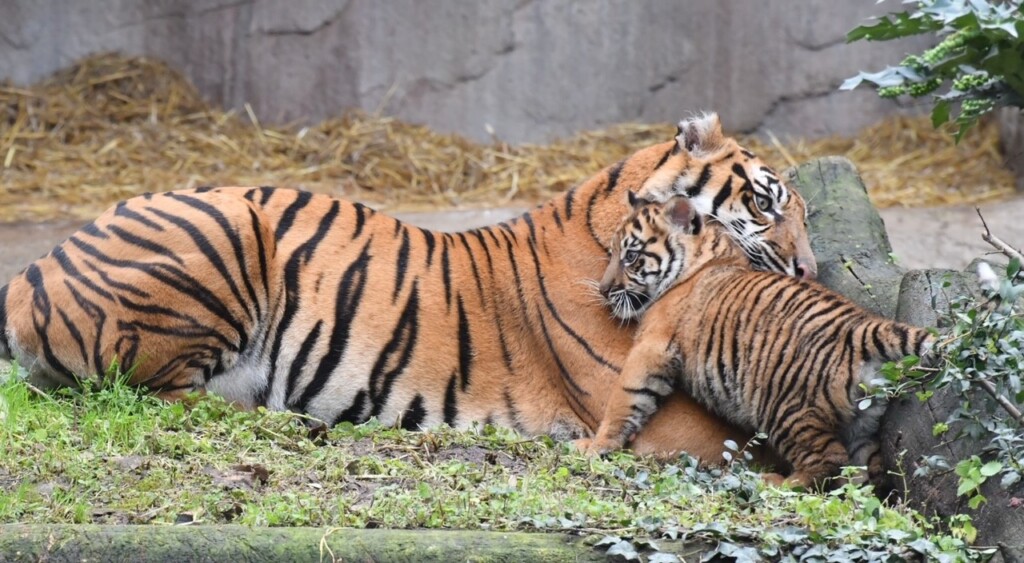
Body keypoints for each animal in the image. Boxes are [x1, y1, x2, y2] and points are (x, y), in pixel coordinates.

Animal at [0, 112, 815, 461]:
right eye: (767, 202)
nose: (810, 268)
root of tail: (29, 270)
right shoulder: (658, 409)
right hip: (224, 227)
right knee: (160, 395)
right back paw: (297, 422)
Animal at [575, 194, 933, 488]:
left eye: (630, 256)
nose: (604, 290)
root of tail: (863, 328)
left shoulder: (651, 349)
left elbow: (624, 400)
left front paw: (594, 447)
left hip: (786, 409)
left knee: (828, 459)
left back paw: (776, 483)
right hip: (862, 423)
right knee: (866, 472)